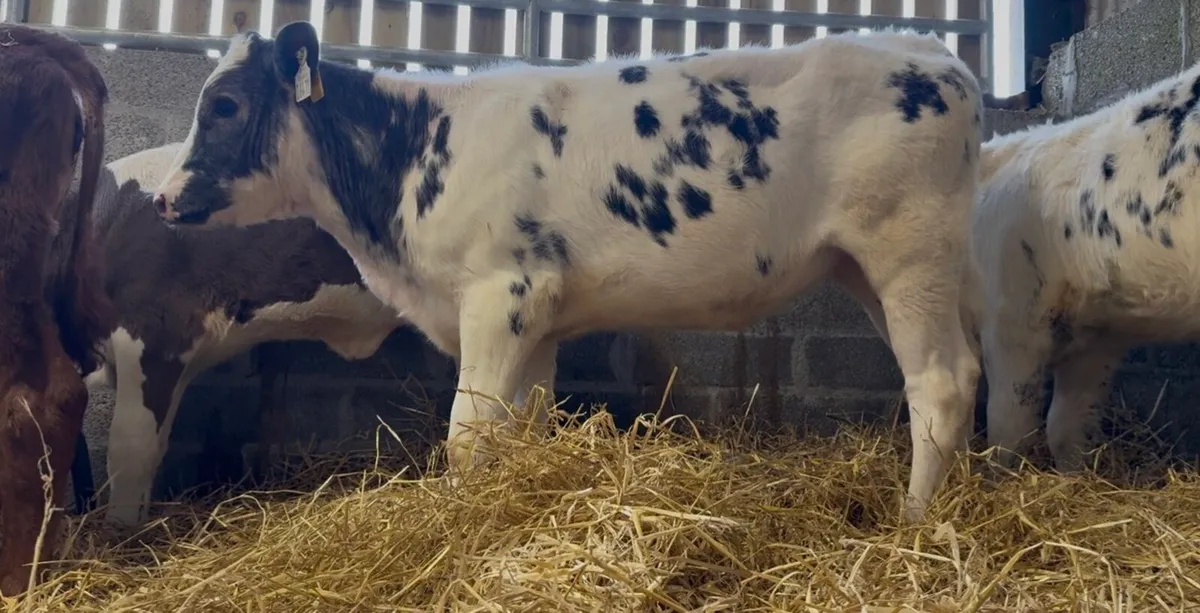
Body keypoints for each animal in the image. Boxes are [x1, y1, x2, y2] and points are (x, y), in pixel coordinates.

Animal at [151, 22, 985, 522]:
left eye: (224, 106)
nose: (162, 199)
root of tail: (935, 53)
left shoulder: (502, 293)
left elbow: (468, 433)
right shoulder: (541, 317)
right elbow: (523, 426)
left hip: (908, 251)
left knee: (940, 381)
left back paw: (912, 522)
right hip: (867, 269)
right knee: (958, 371)